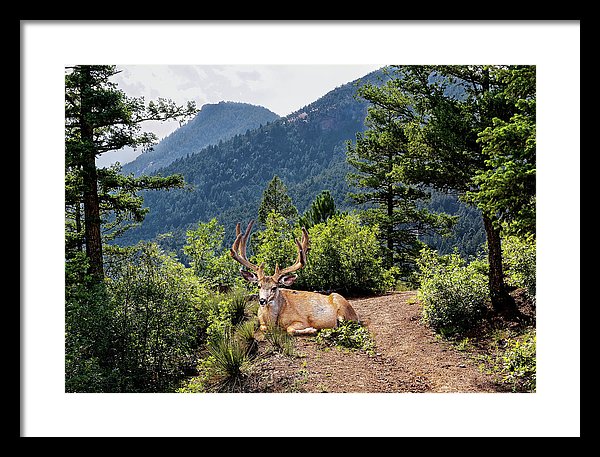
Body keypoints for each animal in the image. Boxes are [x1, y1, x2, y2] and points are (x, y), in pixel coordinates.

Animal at [230, 219, 358, 334]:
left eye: (274, 287)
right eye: (258, 285)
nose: (262, 301)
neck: (272, 321)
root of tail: (355, 314)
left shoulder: (301, 320)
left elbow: (290, 329)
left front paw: (311, 329)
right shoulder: (261, 321)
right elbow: (263, 328)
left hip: (342, 307)